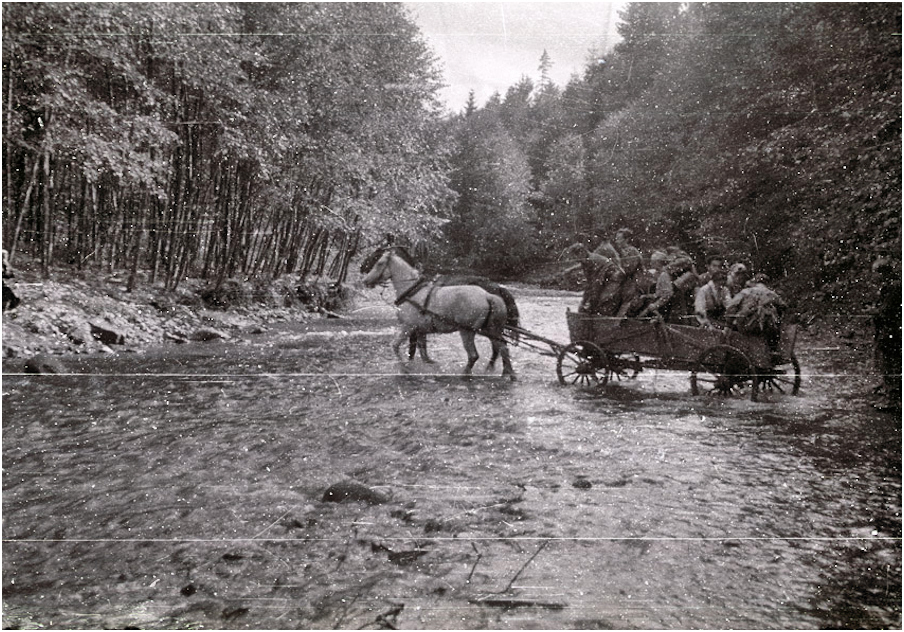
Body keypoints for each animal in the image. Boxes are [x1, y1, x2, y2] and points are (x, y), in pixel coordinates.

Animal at [362, 248, 516, 380]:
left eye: (379, 262)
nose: (365, 280)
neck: (412, 292)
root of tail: (488, 295)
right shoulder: (420, 330)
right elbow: (423, 353)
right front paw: (427, 366)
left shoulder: (408, 327)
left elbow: (395, 345)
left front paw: (404, 369)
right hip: (491, 330)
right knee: (502, 348)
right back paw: (508, 374)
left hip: (467, 331)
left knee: (474, 355)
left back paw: (466, 374)